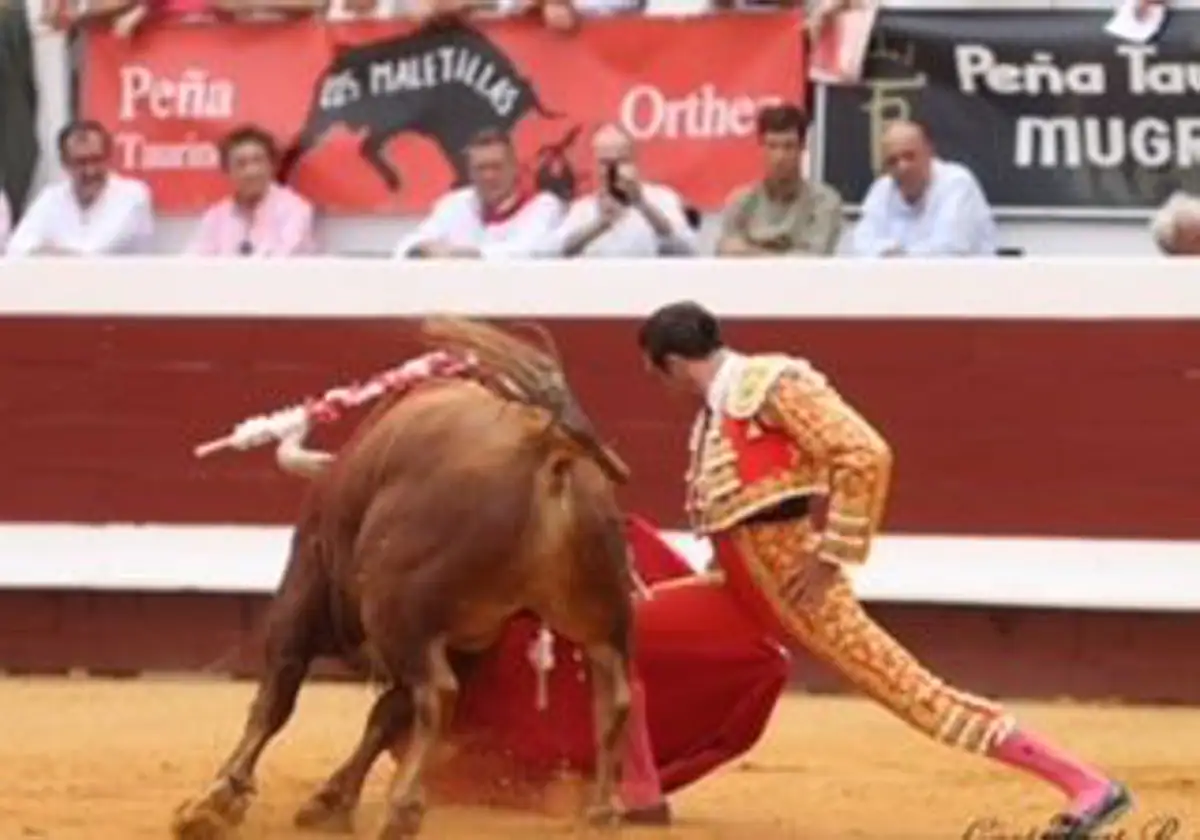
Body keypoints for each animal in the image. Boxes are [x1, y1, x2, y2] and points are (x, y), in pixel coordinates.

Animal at [174, 316, 638, 840]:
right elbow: (385, 716)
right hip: (599, 611)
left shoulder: (306, 585)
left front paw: (213, 802)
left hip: (394, 610)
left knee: (437, 692)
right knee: (614, 696)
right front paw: (330, 801)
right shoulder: (468, 640)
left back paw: (403, 810)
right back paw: (603, 812)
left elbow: (278, 695)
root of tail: (544, 447)